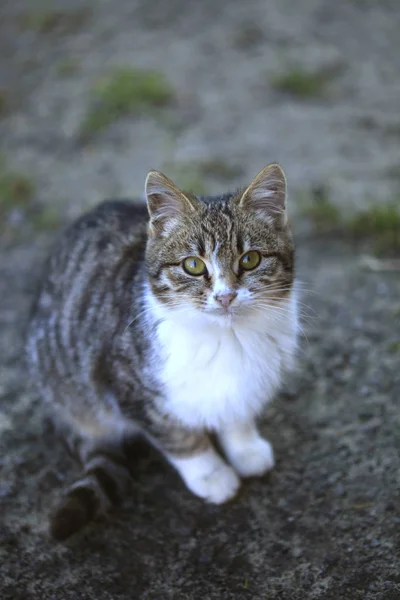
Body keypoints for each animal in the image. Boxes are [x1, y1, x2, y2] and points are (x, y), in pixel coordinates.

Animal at [25, 163, 298, 540]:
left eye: (251, 259)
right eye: (193, 265)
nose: (225, 296)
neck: (227, 336)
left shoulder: (244, 380)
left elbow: (235, 410)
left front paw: (245, 448)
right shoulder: (126, 383)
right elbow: (179, 437)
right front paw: (213, 475)